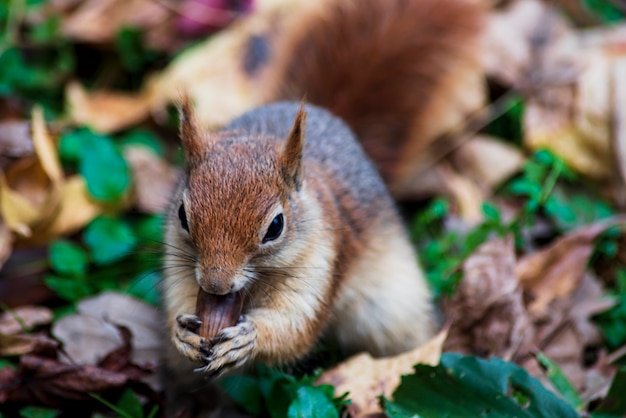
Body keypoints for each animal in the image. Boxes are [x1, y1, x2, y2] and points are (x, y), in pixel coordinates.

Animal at [161, 0, 482, 414]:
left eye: (276, 226)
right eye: (183, 215)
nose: (216, 285)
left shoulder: (323, 263)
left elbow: (295, 330)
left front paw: (249, 339)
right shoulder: (179, 263)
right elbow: (181, 295)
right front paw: (181, 333)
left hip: (392, 309)